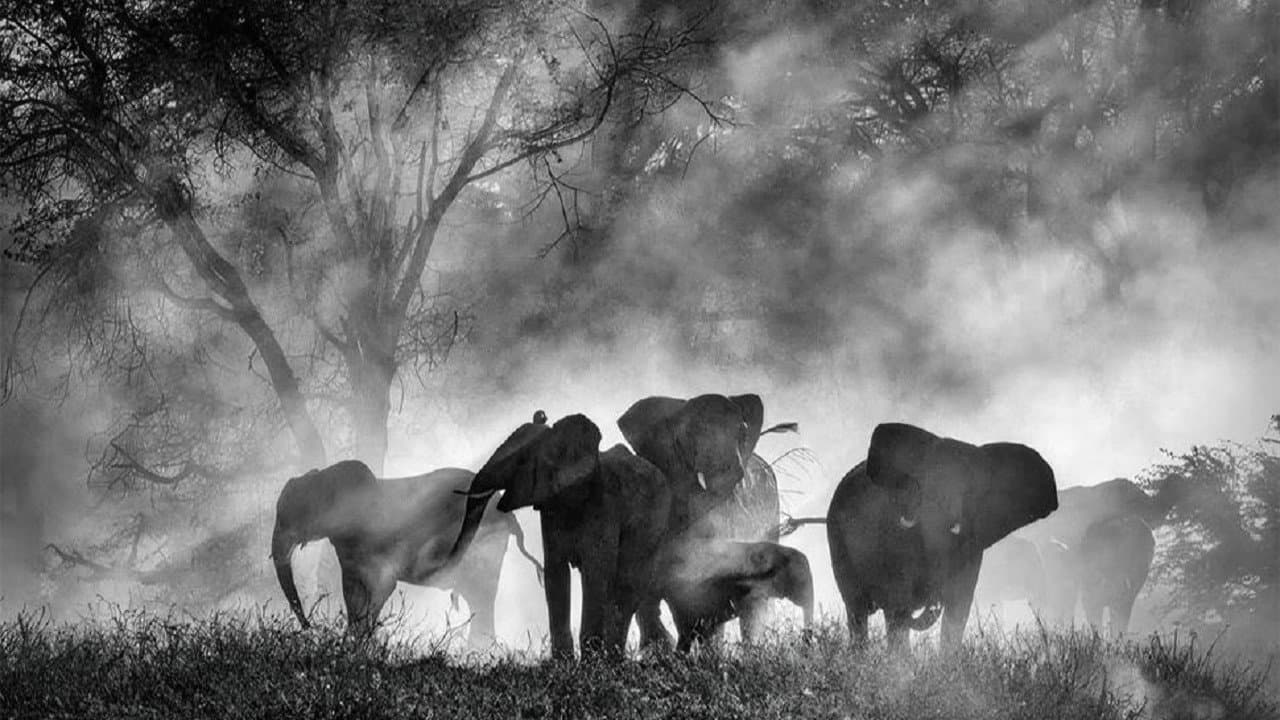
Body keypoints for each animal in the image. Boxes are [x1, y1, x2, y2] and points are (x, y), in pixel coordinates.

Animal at [271, 459, 542, 641]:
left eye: (291, 516)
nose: (310, 627)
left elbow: (382, 586)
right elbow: (352, 591)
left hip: (485, 546)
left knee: (481, 596)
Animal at [827, 423, 1058, 649]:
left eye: (969, 491)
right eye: (922, 485)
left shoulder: (972, 546)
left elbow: (958, 608)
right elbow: (898, 604)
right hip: (837, 540)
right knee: (857, 610)